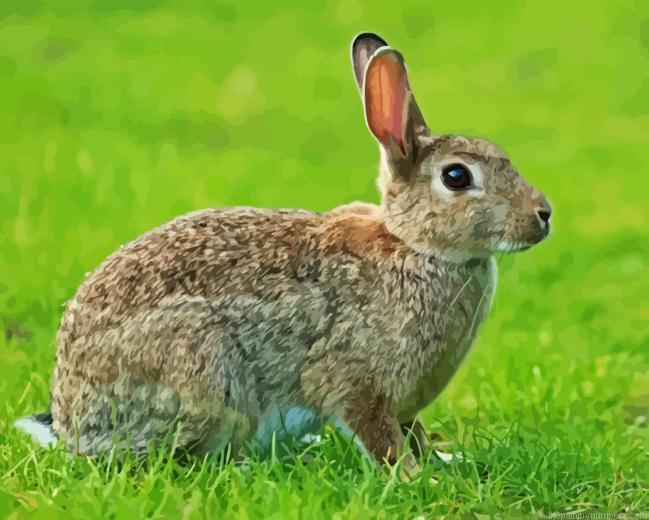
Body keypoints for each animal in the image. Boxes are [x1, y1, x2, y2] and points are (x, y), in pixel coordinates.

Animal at [15, 32, 551, 475]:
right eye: (457, 177)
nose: (543, 215)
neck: (413, 245)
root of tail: (72, 421)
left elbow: (412, 431)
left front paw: (443, 462)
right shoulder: (354, 382)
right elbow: (379, 436)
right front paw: (416, 478)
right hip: (202, 372)